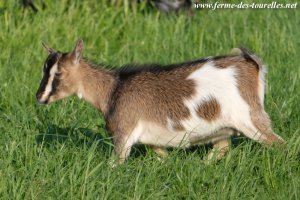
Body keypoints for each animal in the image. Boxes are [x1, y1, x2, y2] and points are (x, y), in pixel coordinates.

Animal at [36, 39, 284, 164]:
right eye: (44, 70)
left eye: (59, 74)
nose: (40, 97)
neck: (113, 89)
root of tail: (251, 64)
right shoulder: (152, 140)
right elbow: (163, 157)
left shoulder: (124, 133)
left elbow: (116, 163)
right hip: (224, 128)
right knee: (221, 148)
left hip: (250, 118)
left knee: (279, 143)